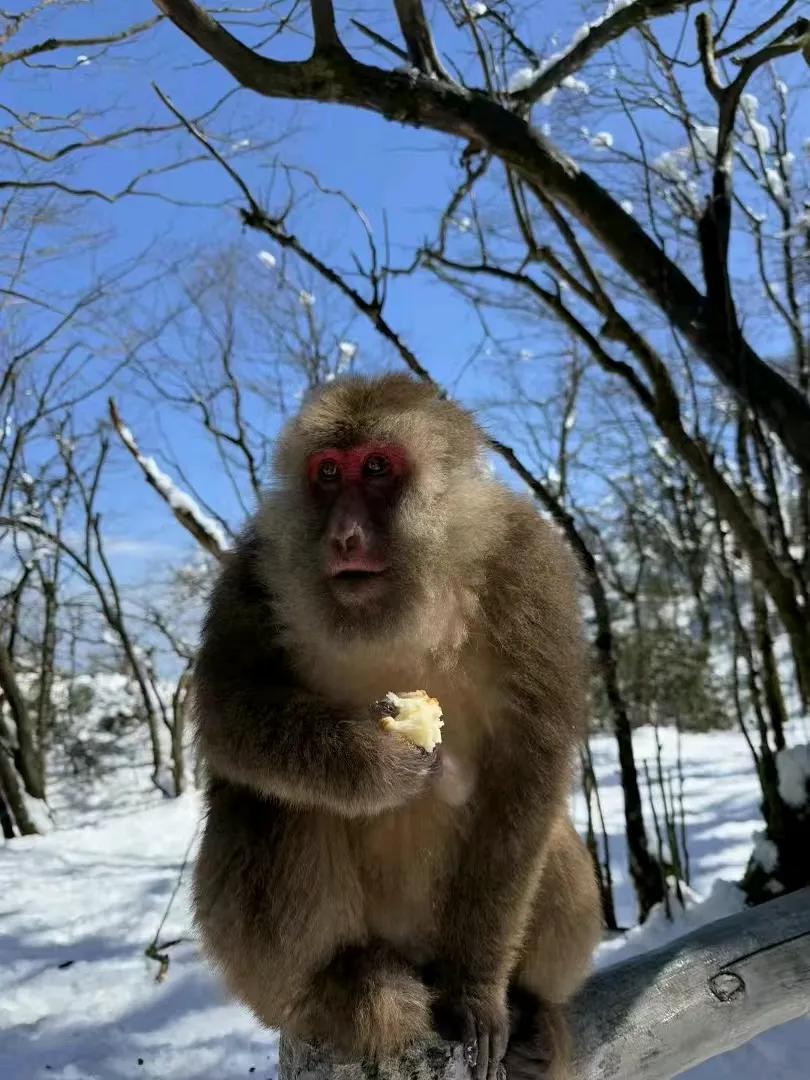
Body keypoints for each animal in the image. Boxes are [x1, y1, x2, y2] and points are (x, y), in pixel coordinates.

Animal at [192, 375, 604, 1080]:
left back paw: (532, 1012)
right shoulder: (254, 566)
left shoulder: (529, 564)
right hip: (280, 978)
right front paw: (371, 765)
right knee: (270, 800)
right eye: (328, 473)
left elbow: (528, 771)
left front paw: (477, 991)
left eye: (378, 468)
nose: (344, 536)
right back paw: (341, 987)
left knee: (545, 835)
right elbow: (224, 703)